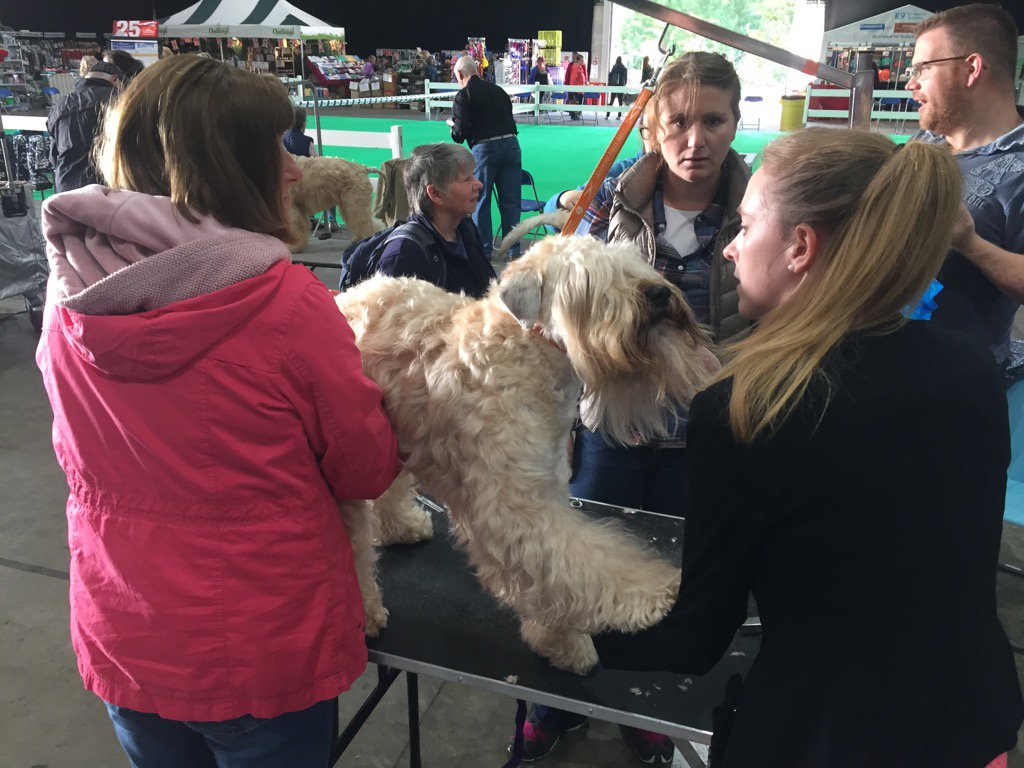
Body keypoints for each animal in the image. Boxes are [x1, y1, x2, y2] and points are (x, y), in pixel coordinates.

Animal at [337, 234, 720, 671]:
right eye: (586, 282)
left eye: (633, 265)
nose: (658, 293)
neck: (527, 349)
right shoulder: (515, 507)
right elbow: (572, 567)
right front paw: (652, 594)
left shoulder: (545, 480)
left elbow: (560, 569)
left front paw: (559, 641)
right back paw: (364, 614)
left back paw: (401, 526)